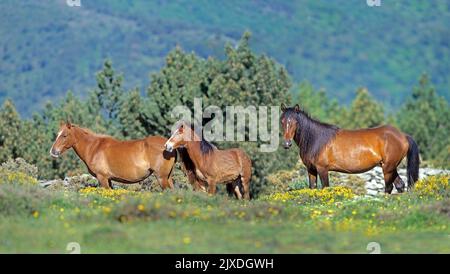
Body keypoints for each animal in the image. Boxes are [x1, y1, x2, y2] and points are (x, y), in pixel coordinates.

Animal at [280, 104, 420, 194]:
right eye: (282, 121)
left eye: (295, 122)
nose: (286, 144)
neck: (316, 139)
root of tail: (402, 135)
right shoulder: (311, 170)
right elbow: (312, 188)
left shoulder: (322, 169)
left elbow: (325, 188)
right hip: (390, 167)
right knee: (399, 185)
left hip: (388, 168)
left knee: (389, 187)